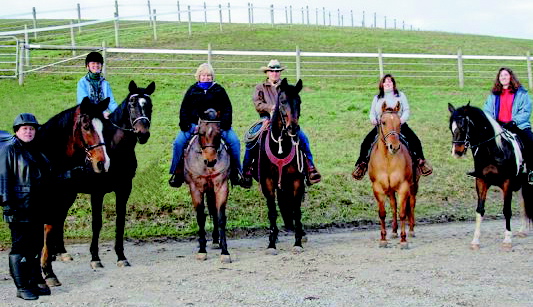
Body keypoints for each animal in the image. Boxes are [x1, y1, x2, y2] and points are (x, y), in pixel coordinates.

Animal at [41, 80, 155, 286]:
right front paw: (95, 258)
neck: (116, 149)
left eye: (149, 105)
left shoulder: (124, 189)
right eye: (132, 104)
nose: (143, 133)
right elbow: (97, 223)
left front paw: (121, 257)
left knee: (59, 217)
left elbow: (120, 221)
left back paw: (60, 252)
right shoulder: (97, 191)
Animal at [183, 109, 231, 264]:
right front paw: (202, 250)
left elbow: (220, 217)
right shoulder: (195, 189)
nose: (210, 161)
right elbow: (200, 218)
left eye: (219, 132)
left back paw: (216, 241)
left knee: (214, 212)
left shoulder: (221, 187)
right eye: (201, 133)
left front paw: (225, 252)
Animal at [258, 79, 308, 255]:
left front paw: (298, 242)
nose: (293, 128)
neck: (280, 147)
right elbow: (273, 212)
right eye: (283, 101)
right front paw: (271, 244)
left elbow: (296, 210)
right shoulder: (267, 182)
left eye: (299, 101)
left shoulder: (297, 181)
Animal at [368, 102, 418, 249]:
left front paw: (404, 240)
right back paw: (394, 231)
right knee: (393, 206)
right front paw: (383, 239)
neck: (388, 160)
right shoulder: (378, 188)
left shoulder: (403, 187)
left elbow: (403, 213)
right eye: (383, 122)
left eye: (399, 122)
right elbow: (383, 213)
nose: (394, 147)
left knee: (411, 204)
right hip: (390, 190)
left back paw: (411, 230)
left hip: (413, 186)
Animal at [446, 103, 528, 250]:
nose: (457, 152)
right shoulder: (481, 181)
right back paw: (523, 230)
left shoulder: (507, 182)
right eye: (451, 127)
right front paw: (475, 241)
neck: (493, 151)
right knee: (522, 201)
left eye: (463, 126)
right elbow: (480, 210)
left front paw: (507, 239)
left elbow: (507, 210)